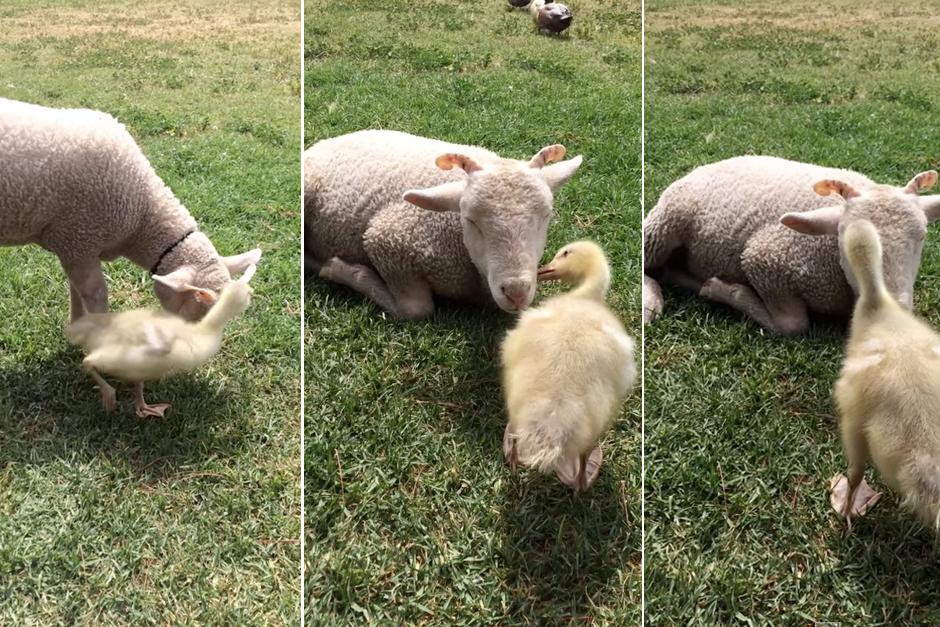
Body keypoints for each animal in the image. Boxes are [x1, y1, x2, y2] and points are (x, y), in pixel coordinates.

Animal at [0, 97, 261, 322]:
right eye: (200, 314)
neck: (141, 214)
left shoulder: (74, 247)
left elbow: (76, 292)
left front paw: (76, 326)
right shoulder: (78, 240)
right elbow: (96, 295)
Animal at [304, 129, 583, 319]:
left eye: (546, 215)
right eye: (470, 219)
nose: (515, 292)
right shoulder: (387, 240)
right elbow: (417, 309)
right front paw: (339, 269)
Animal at [643, 156, 940, 335]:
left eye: (922, 236)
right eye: (847, 242)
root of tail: (702, 167)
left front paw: (714, 287)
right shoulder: (765, 261)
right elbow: (792, 325)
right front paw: (727, 290)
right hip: (665, 224)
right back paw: (651, 303)